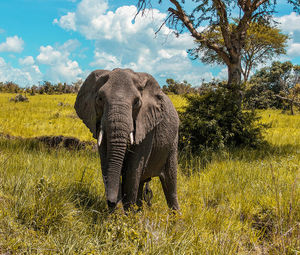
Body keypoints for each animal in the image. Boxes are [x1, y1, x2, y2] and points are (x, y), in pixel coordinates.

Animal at [74, 67, 179, 211]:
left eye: (137, 102)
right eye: (100, 99)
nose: (111, 202)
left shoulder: (147, 125)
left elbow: (133, 168)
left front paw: (126, 215)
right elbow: (106, 162)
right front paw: (119, 214)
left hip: (173, 141)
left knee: (170, 183)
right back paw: (139, 211)